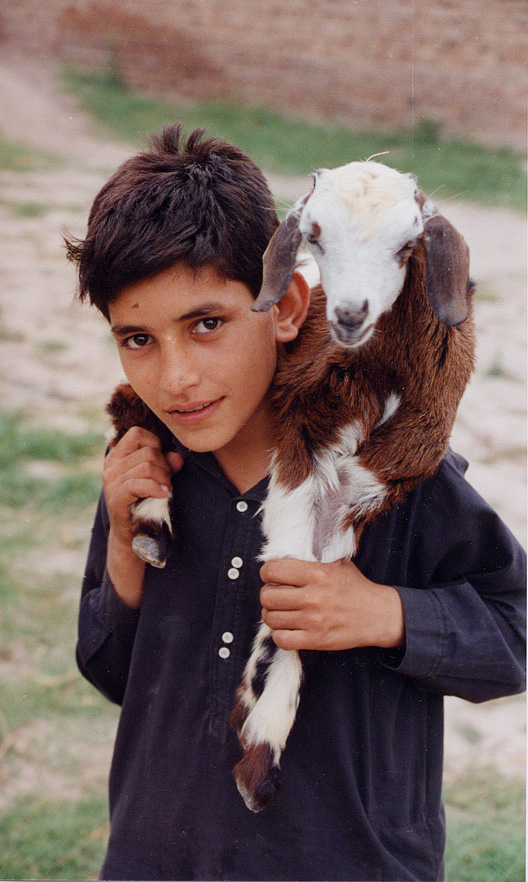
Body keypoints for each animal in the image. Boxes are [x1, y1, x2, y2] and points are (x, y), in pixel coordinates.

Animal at [230, 160, 474, 812]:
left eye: (408, 244)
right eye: (313, 235)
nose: (348, 315)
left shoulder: (378, 481)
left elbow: (320, 564)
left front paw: (260, 735)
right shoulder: (301, 443)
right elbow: (290, 553)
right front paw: (261, 752)